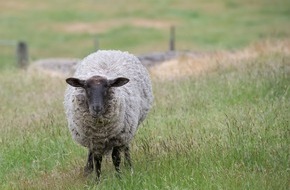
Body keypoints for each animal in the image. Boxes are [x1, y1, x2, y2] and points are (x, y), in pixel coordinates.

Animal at [63, 50, 154, 180]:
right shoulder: (94, 139)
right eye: (86, 87)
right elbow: (97, 160)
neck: (100, 127)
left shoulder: (118, 137)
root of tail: (111, 51)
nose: (96, 108)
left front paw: (119, 177)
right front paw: (97, 180)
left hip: (128, 128)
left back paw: (129, 166)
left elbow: (116, 158)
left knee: (126, 147)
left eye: (107, 86)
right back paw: (88, 170)